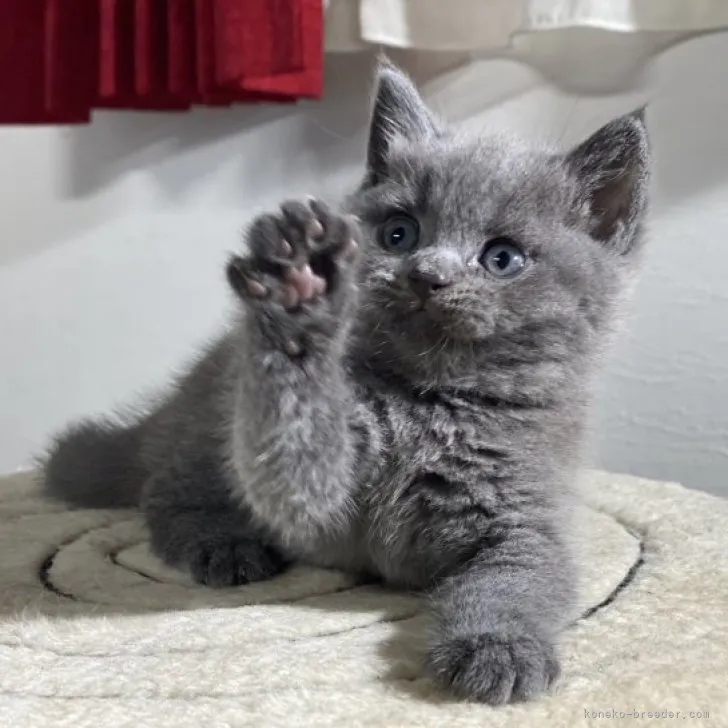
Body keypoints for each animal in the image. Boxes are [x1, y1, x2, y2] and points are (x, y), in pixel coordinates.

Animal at [42, 64, 652, 704]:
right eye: (400, 233)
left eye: (502, 258)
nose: (426, 274)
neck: (430, 402)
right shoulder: (318, 490)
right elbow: (289, 458)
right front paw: (296, 308)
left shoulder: (523, 516)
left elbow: (520, 580)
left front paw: (498, 648)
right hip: (207, 427)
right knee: (165, 493)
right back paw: (224, 543)